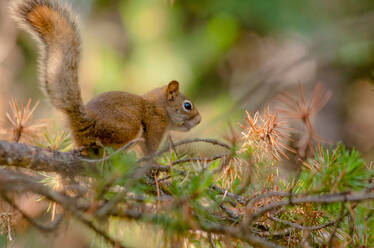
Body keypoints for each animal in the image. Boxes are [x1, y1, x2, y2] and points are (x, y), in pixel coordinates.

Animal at [10, 0, 202, 155]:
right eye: (187, 106)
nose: (199, 120)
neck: (161, 106)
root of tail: (86, 123)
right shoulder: (155, 124)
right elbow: (149, 151)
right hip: (128, 127)